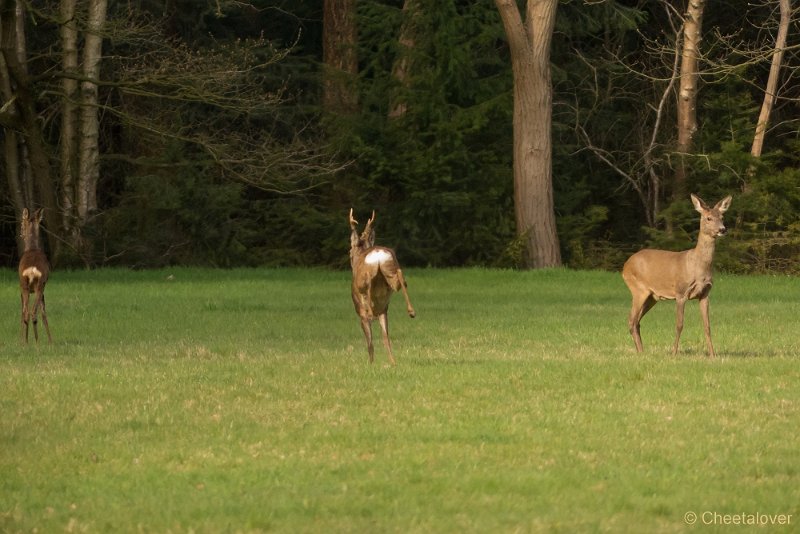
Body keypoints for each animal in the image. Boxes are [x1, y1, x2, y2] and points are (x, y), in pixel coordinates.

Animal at [17, 207, 52, 346]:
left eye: (22, 223)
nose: (20, 233)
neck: (31, 248)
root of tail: (32, 270)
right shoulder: (43, 286)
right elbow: (43, 312)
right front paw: (50, 341)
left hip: (26, 285)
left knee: (28, 312)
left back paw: (27, 342)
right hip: (38, 285)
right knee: (33, 312)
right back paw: (35, 342)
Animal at [348, 207, 416, 366]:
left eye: (349, 251)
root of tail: (378, 254)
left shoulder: (361, 315)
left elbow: (370, 343)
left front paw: (371, 363)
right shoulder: (384, 312)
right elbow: (385, 338)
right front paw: (392, 362)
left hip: (365, 279)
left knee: (367, 285)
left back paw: (370, 309)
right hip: (390, 270)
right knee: (400, 276)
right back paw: (411, 311)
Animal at [620, 195, 736, 358]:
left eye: (722, 217)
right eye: (708, 218)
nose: (722, 229)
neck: (698, 266)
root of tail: (625, 265)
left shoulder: (705, 293)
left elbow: (707, 325)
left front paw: (713, 355)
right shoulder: (681, 292)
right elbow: (679, 324)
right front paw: (674, 353)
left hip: (652, 296)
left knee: (636, 321)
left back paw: (641, 351)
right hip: (638, 288)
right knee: (631, 319)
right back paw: (641, 352)